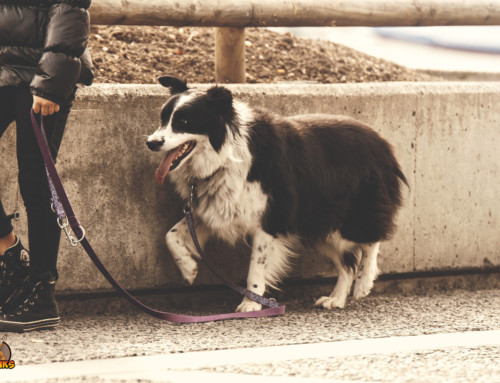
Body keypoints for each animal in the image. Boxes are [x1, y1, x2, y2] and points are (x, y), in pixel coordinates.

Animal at [146, 76, 408, 314]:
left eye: (184, 121)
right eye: (163, 119)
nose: (151, 142)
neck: (225, 155)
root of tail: (384, 145)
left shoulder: (269, 217)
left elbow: (256, 266)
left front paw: (250, 303)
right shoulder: (216, 208)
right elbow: (171, 235)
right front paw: (189, 268)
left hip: (352, 211)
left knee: (371, 240)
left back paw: (363, 283)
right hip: (317, 221)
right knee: (347, 263)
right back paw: (336, 299)